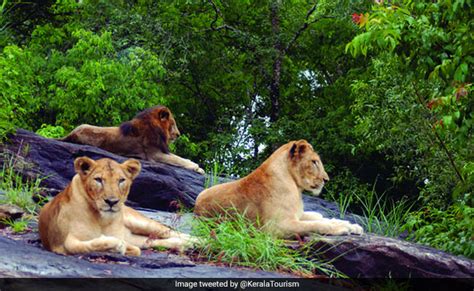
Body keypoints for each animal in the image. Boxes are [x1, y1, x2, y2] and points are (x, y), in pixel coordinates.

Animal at [38, 157, 198, 256]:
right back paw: (184, 245)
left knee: (169, 232)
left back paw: (196, 241)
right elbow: (79, 246)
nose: (111, 201)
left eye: (121, 180)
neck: (102, 219)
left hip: (140, 222)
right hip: (136, 236)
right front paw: (117, 246)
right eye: (98, 180)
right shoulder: (60, 241)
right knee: (154, 240)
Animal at [58, 106, 204, 175]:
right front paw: (197, 167)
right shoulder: (154, 154)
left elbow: (179, 158)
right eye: (172, 124)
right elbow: (178, 159)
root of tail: (71, 134)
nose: (178, 134)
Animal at [194, 140, 364, 238]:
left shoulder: (296, 215)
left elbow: (322, 218)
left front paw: (353, 226)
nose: (326, 179)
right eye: (314, 162)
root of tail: (196, 207)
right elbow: (316, 224)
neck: (296, 188)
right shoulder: (276, 227)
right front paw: (342, 227)